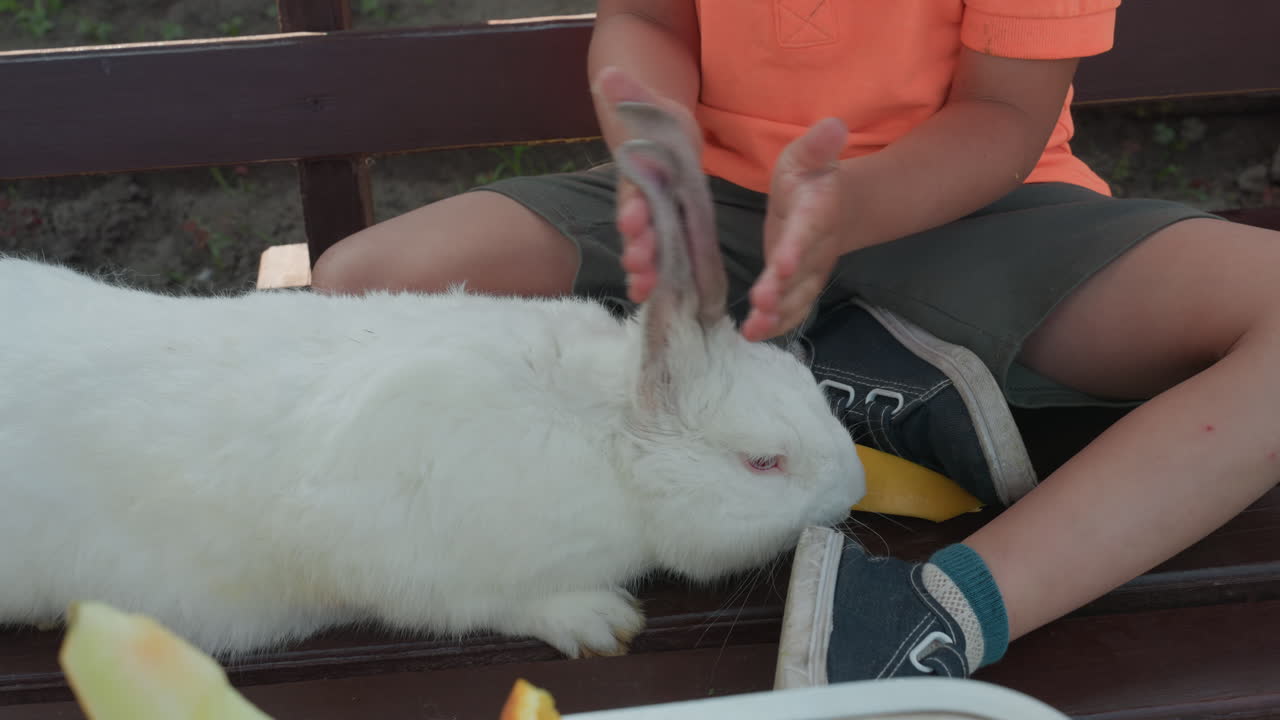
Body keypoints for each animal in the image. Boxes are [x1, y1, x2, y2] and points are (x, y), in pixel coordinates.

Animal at [0, 98, 865, 660]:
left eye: (815, 389)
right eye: (763, 462)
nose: (855, 489)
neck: (600, 439)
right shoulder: (408, 557)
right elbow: (486, 605)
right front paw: (598, 620)